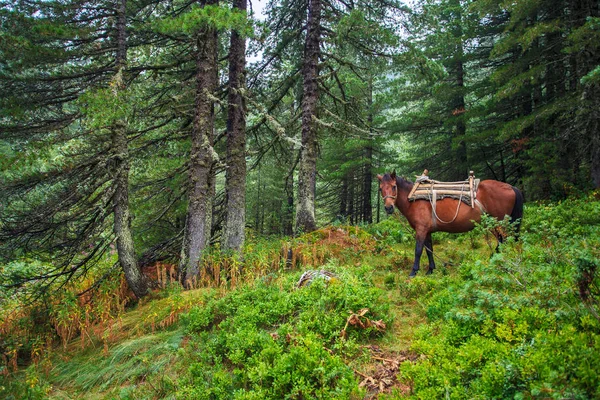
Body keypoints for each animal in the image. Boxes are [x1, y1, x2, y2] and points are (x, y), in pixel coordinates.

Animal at [378, 172, 524, 278]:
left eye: (394, 186)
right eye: (380, 189)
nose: (388, 208)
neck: (413, 199)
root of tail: (511, 187)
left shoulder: (421, 230)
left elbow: (418, 250)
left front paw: (414, 272)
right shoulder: (427, 231)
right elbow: (429, 249)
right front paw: (431, 269)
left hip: (499, 223)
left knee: (504, 240)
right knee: (502, 241)